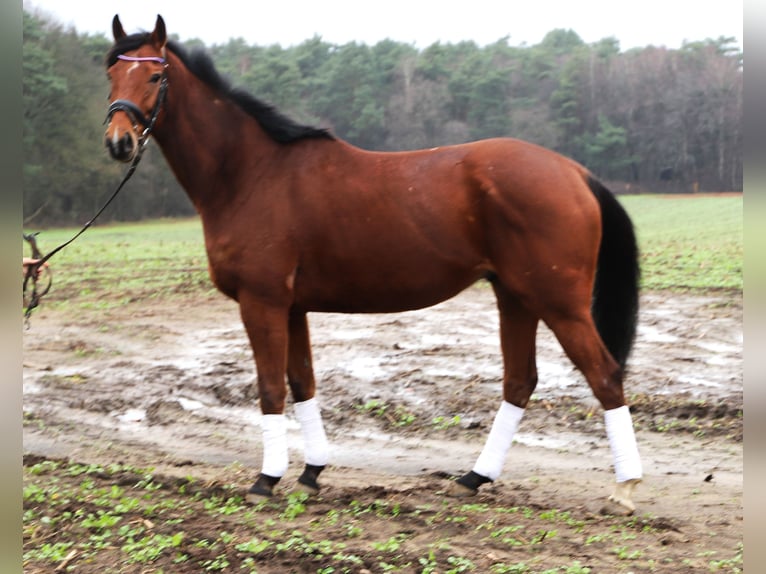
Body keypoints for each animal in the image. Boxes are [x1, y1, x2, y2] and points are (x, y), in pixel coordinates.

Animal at [104, 15, 643, 515]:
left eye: (155, 75)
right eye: (110, 73)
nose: (118, 141)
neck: (252, 173)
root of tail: (574, 171)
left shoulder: (263, 301)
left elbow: (270, 388)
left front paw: (266, 479)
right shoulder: (293, 307)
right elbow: (302, 383)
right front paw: (311, 472)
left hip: (559, 303)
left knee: (604, 376)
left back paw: (625, 488)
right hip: (515, 296)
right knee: (520, 382)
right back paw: (474, 477)